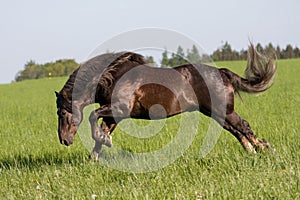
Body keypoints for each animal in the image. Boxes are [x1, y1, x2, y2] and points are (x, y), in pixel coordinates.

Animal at [55, 43, 276, 159]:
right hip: (216, 113)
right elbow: (100, 134)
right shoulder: (113, 115)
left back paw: (265, 148)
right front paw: (95, 156)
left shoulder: (118, 109)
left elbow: (93, 118)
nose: (64, 140)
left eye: (62, 113)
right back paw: (252, 151)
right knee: (237, 130)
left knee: (244, 126)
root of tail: (222, 72)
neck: (112, 77)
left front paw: (104, 143)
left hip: (224, 111)